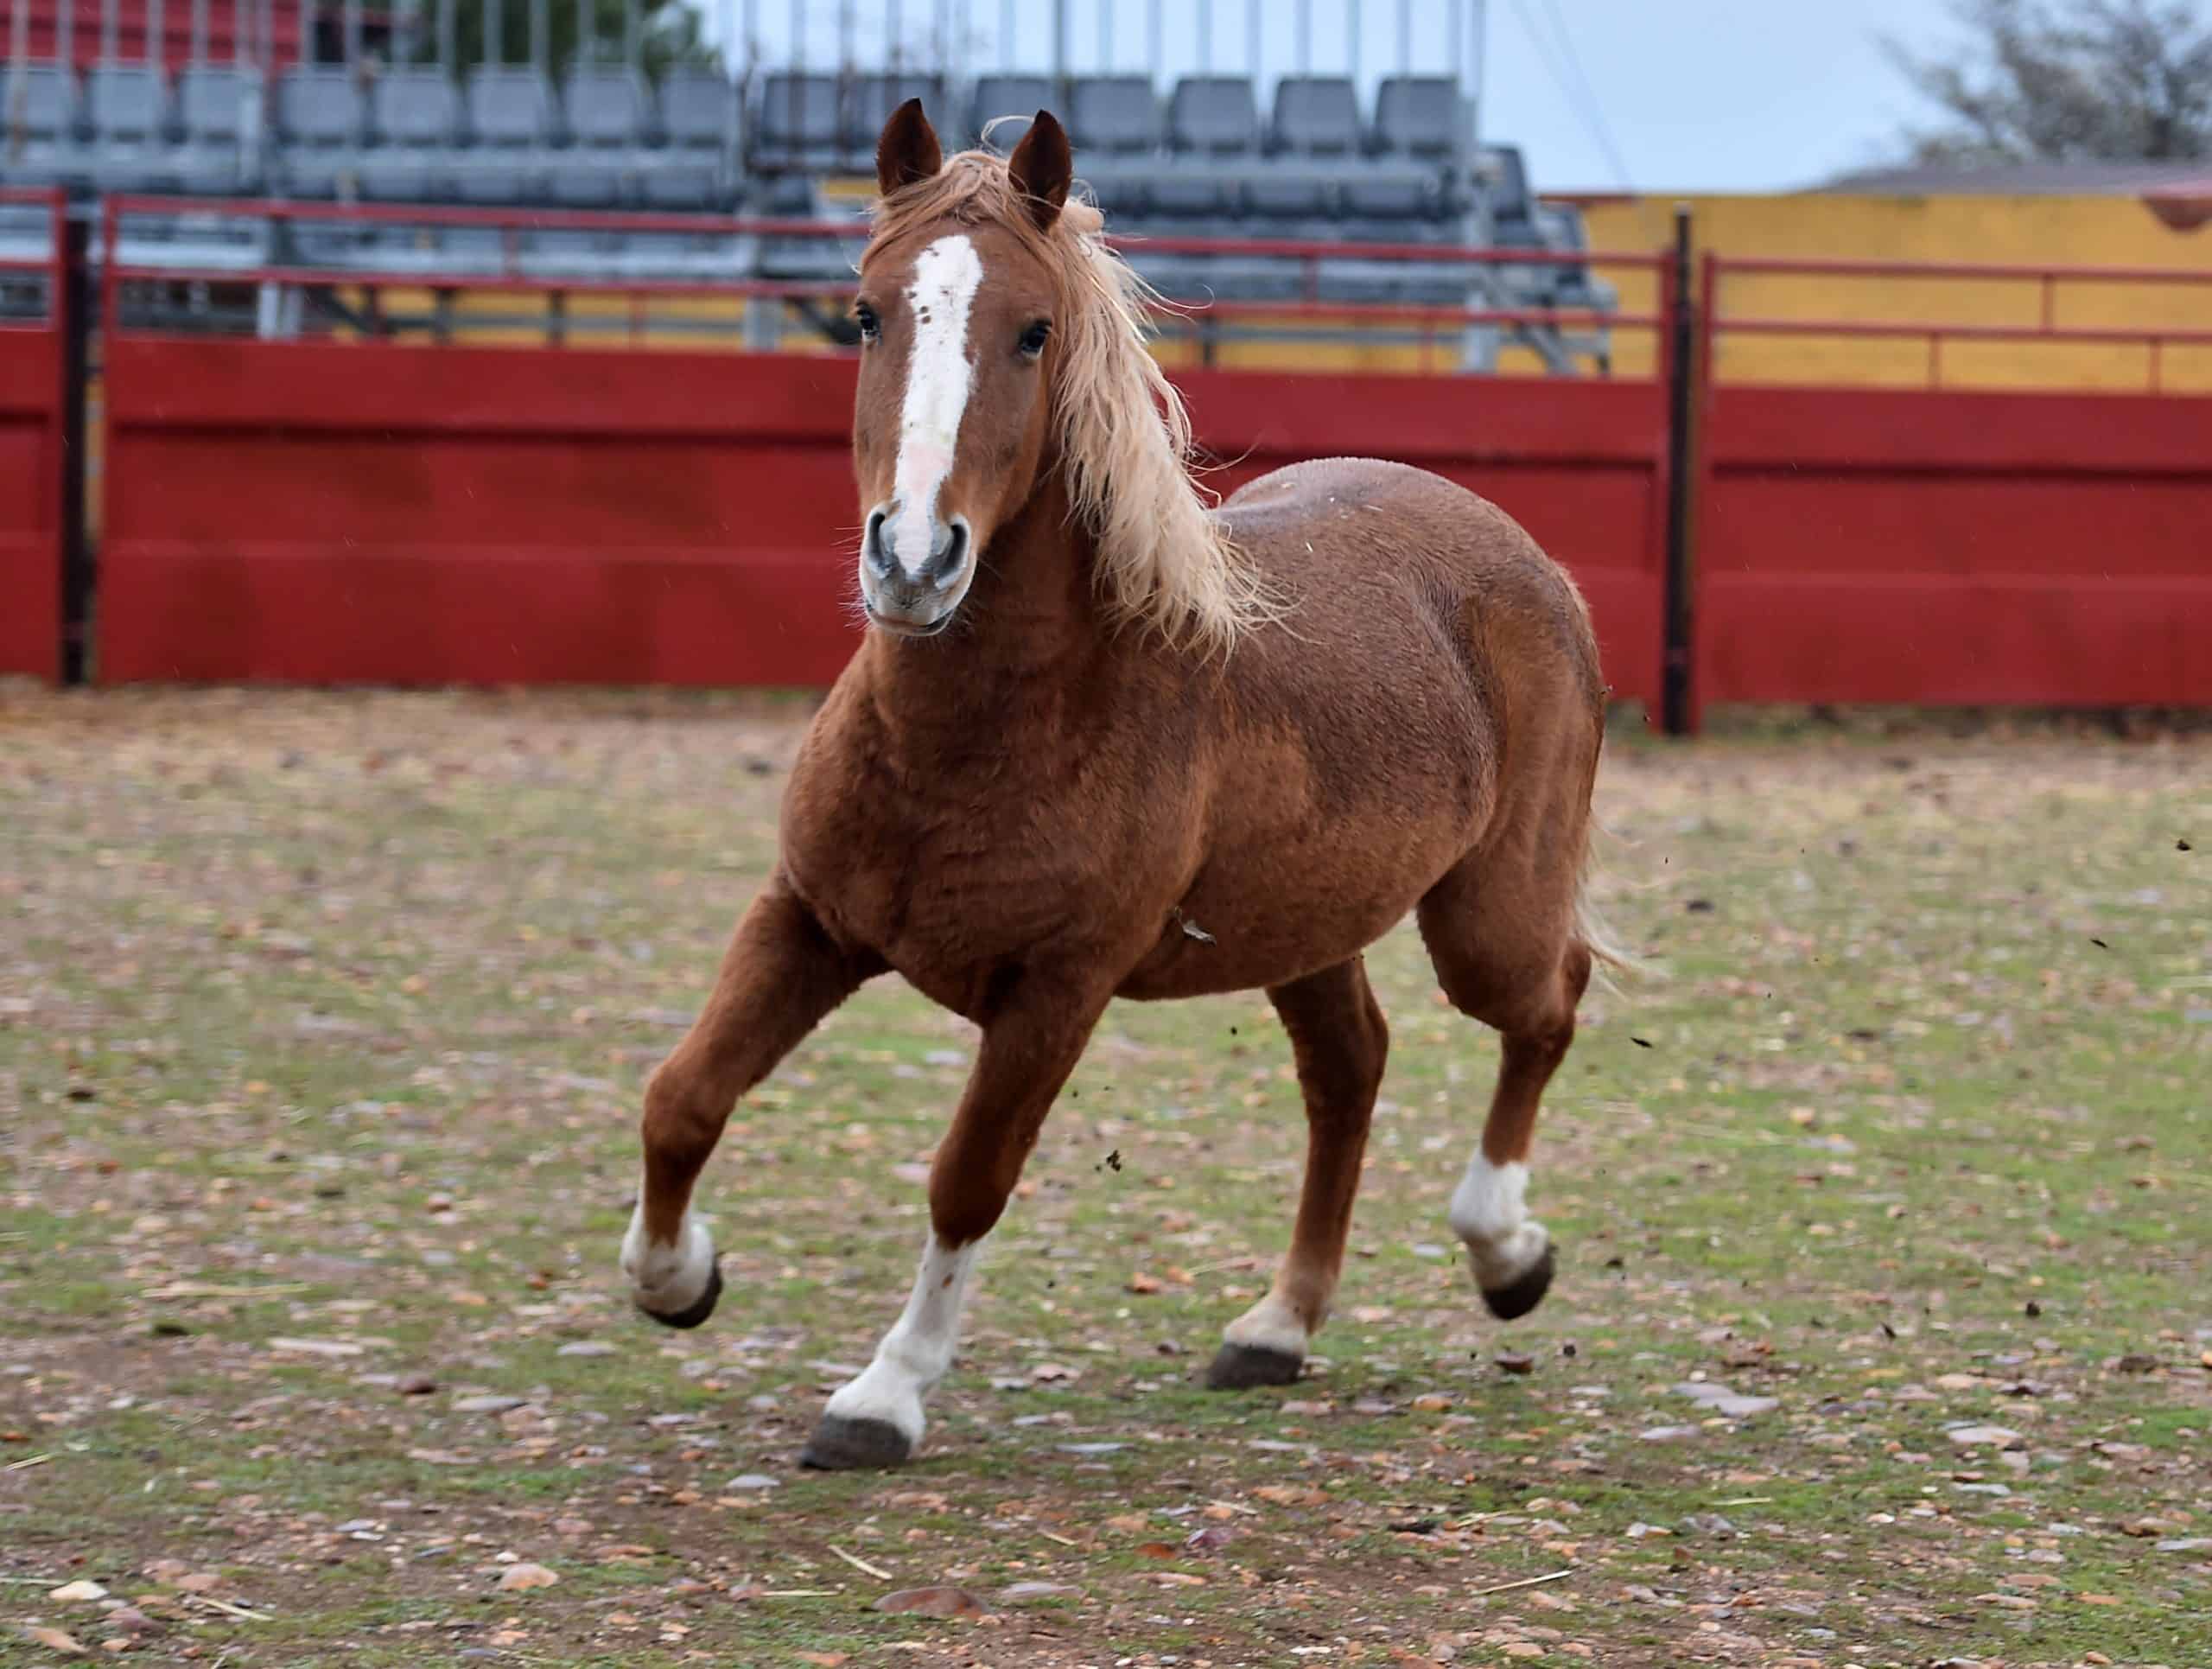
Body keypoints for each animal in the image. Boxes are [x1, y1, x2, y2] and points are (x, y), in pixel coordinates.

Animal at [614, 100, 1618, 1469]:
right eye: (866, 312)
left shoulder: (1056, 991)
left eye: (1034, 330)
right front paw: (679, 1279)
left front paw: (883, 1392)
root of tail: (1522, 558)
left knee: (1546, 1002)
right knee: (1349, 1070)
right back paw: (1276, 1326)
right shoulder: (810, 919)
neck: (978, 735)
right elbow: (682, 1097)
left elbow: (968, 1177)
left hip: (1486, 920)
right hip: (1304, 930)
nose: (914, 560)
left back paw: (1506, 1252)